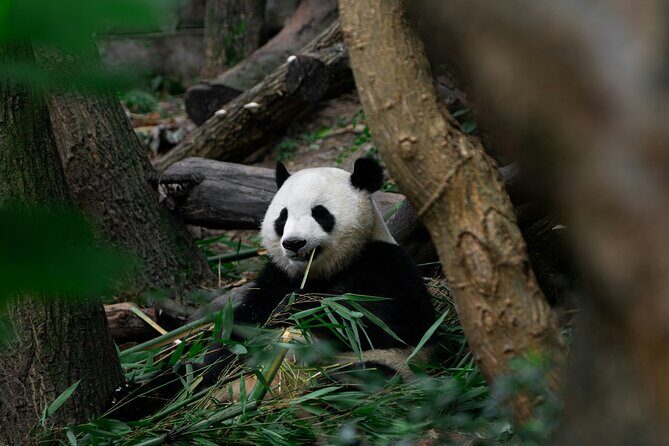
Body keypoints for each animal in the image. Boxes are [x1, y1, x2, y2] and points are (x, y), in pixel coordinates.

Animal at [203, 157, 437, 383]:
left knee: (365, 376)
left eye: (320, 213)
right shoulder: (280, 276)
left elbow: (376, 321)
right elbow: (243, 323)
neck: (320, 272)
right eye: (283, 216)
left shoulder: (386, 263)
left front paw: (297, 308)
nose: (294, 243)